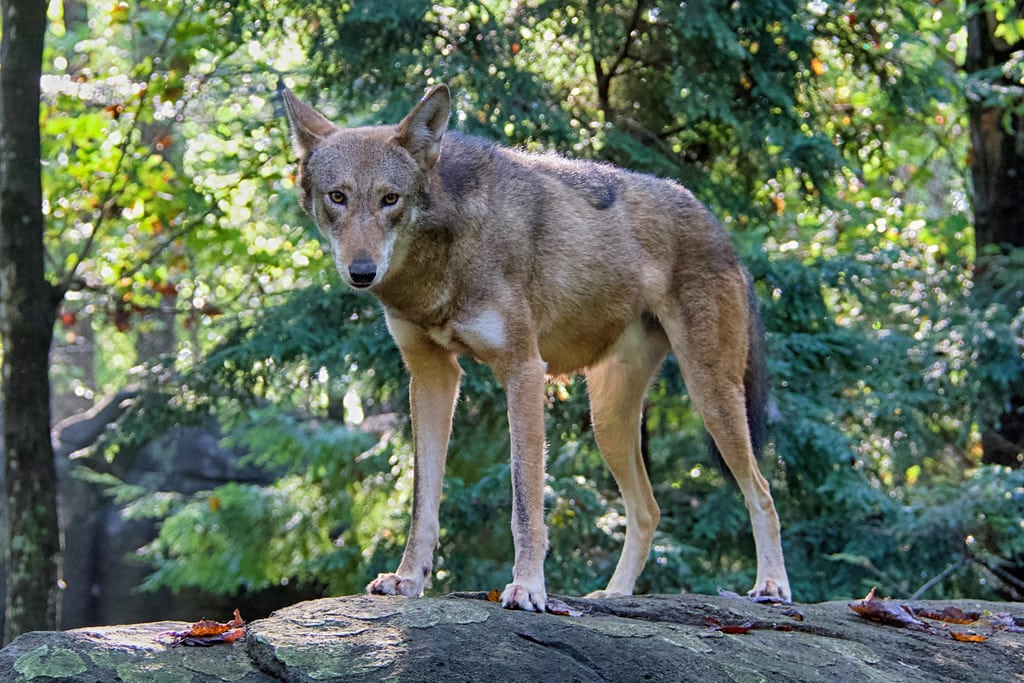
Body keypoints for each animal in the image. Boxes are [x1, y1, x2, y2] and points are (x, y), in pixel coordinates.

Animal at [281, 83, 791, 610]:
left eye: (390, 199)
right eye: (337, 197)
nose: (362, 272)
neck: (440, 260)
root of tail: (719, 227)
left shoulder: (524, 370)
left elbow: (525, 501)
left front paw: (527, 587)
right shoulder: (431, 376)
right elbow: (423, 501)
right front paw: (408, 579)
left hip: (709, 394)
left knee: (762, 490)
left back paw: (772, 586)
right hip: (608, 420)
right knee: (648, 510)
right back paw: (615, 594)